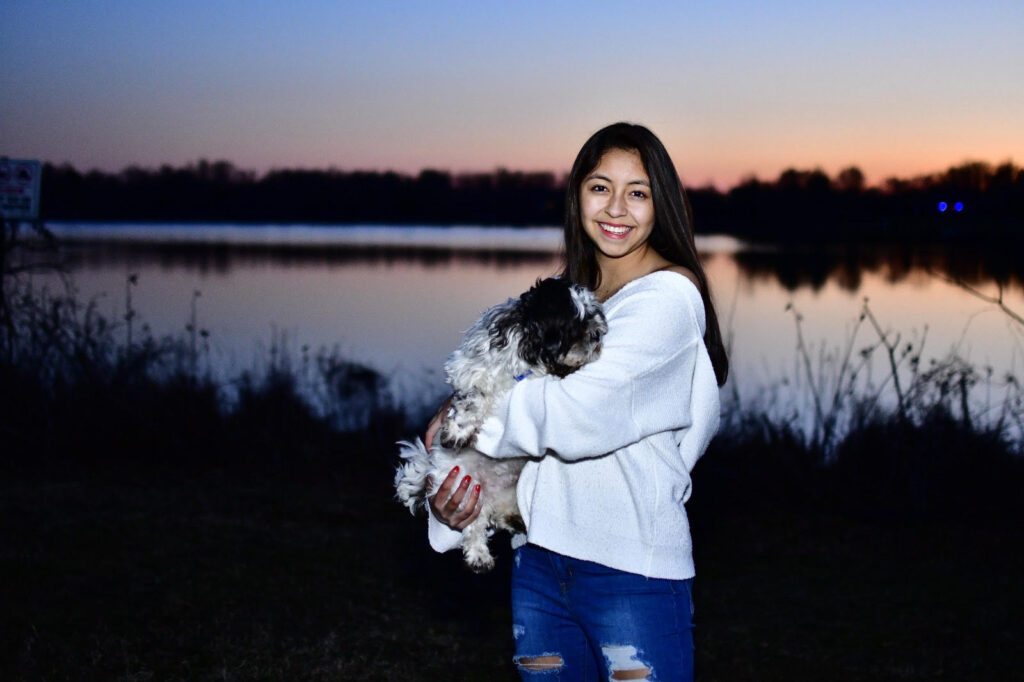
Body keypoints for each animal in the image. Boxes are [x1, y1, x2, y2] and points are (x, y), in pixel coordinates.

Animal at [395, 274, 606, 569]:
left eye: (594, 316)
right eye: (576, 323)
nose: (598, 335)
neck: (527, 353)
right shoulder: (471, 370)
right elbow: (474, 398)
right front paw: (459, 431)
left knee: (493, 514)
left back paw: (510, 524)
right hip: (464, 488)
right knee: (474, 524)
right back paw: (478, 554)